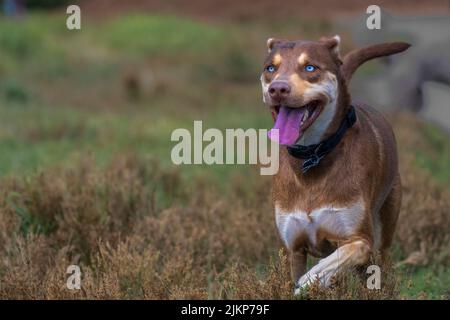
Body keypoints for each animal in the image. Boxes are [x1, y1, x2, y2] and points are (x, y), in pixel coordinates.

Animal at [260, 35, 412, 292]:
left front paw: (315, 277)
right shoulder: (292, 249)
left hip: (387, 222)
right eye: (271, 68)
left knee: (381, 260)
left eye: (310, 68)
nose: (278, 88)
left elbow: (342, 255)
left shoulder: (360, 237)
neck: (312, 156)